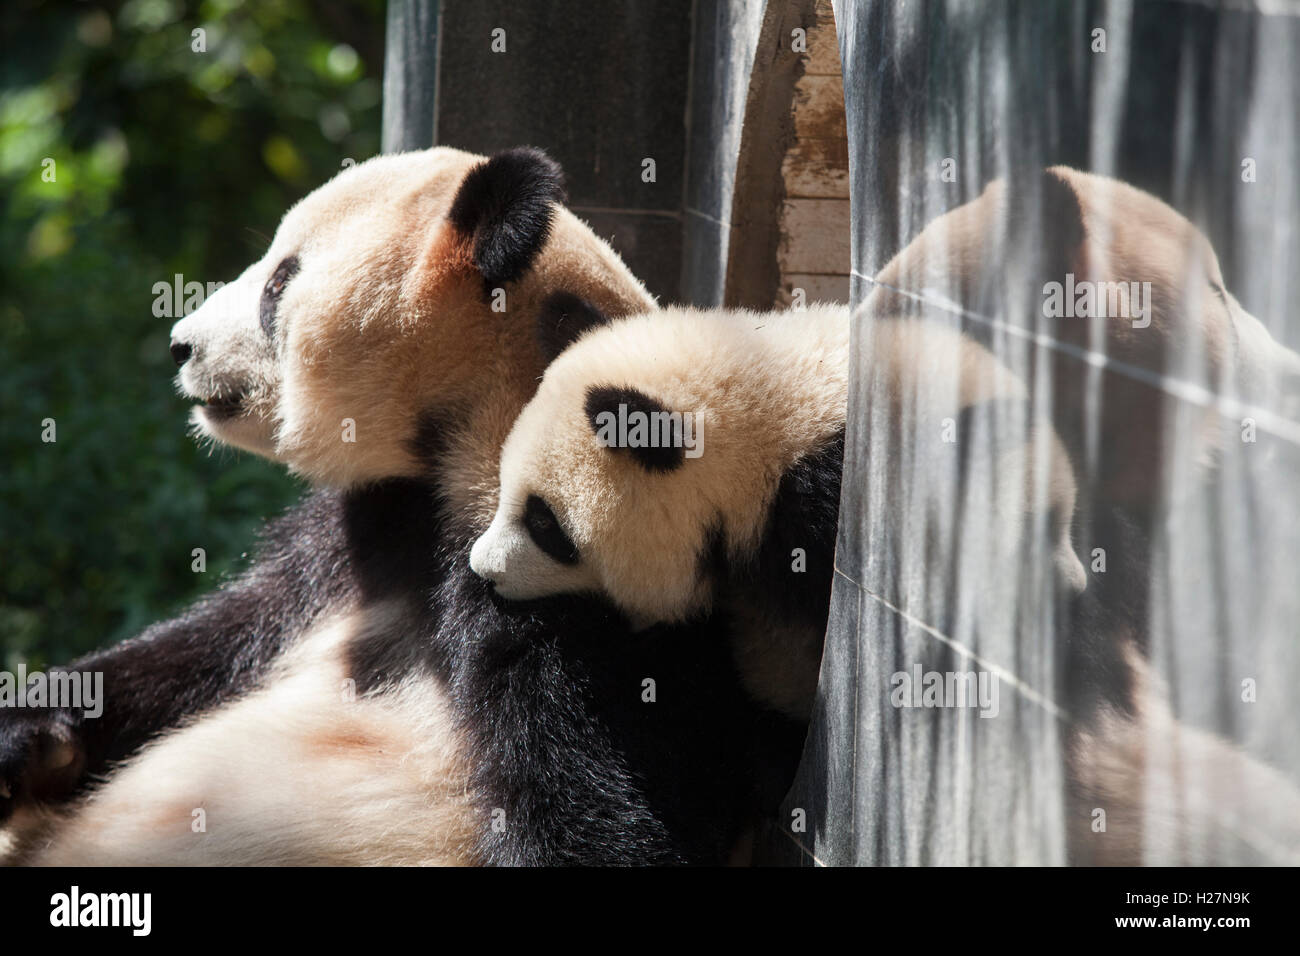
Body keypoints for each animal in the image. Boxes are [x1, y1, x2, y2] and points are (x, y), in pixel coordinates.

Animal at [0, 147, 790, 868]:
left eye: (280, 282)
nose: (179, 345)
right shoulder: (350, 542)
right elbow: (210, 648)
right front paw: (32, 739)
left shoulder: (573, 579)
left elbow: (605, 808)